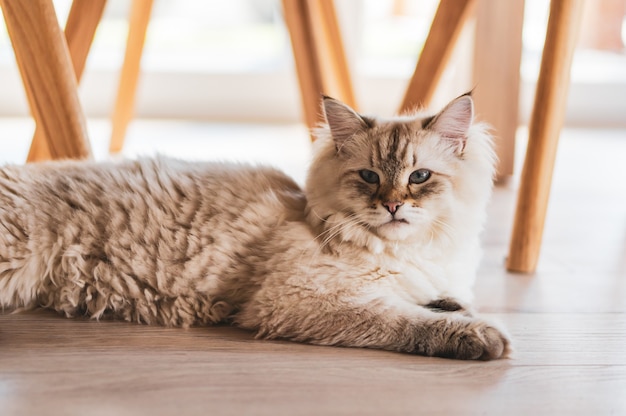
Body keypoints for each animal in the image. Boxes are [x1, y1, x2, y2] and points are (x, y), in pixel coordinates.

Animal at [0, 92, 508, 360]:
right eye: (369, 177)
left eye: (419, 177)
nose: (392, 205)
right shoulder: (305, 299)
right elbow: (407, 319)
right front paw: (480, 337)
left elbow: (439, 301)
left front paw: (454, 307)